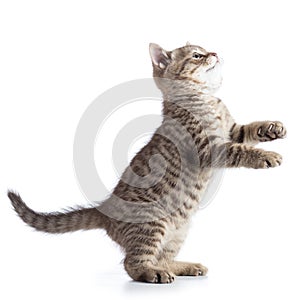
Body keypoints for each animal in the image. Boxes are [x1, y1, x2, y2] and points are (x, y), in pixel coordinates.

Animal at [7, 42, 286, 284]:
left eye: (206, 49)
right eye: (197, 55)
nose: (215, 53)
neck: (205, 97)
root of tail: (105, 209)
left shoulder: (231, 129)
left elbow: (248, 130)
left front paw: (271, 128)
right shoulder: (209, 149)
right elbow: (240, 150)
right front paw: (266, 156)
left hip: (179, 231)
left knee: (163, 258)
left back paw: (184, 266)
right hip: (152, 224)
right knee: (133, 263)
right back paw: (153, 273)